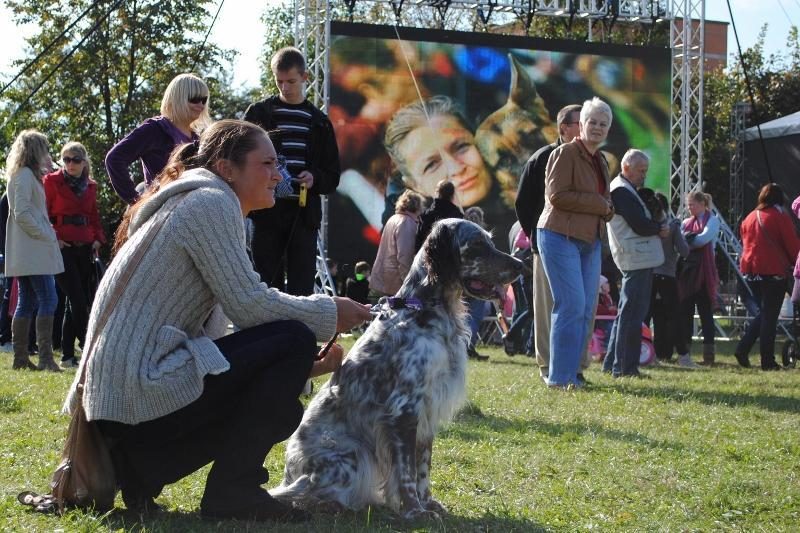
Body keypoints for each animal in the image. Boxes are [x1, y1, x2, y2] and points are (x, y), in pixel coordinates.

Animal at [272, 218, 520, 516]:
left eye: (490, 241)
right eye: (477, 245)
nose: (522, 265)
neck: (424, 309)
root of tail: (290, 476)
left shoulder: (426, 411)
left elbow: (422, 467)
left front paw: (428, 503)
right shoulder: (404, 410)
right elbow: (406, 471)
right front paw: (414, 511)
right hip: (350, 455)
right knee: (303, 494)